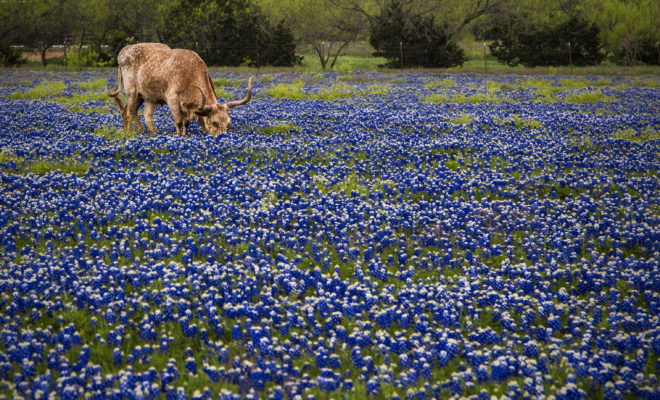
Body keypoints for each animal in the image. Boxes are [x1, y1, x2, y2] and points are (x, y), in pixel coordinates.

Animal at [107, 43, 251, 135]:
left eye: (228, 123)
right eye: (214, 122)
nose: (222, 137)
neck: (190, 72)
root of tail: (124, 51)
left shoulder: (187, 106)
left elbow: (186, 123)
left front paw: (186, 135)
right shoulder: (173, 100)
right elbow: (178, 121)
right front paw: (179, 136)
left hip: (146, 96)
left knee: (145, 115)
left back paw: (152, 133)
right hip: (132, 92)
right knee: (129, 112)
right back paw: (129, 133)